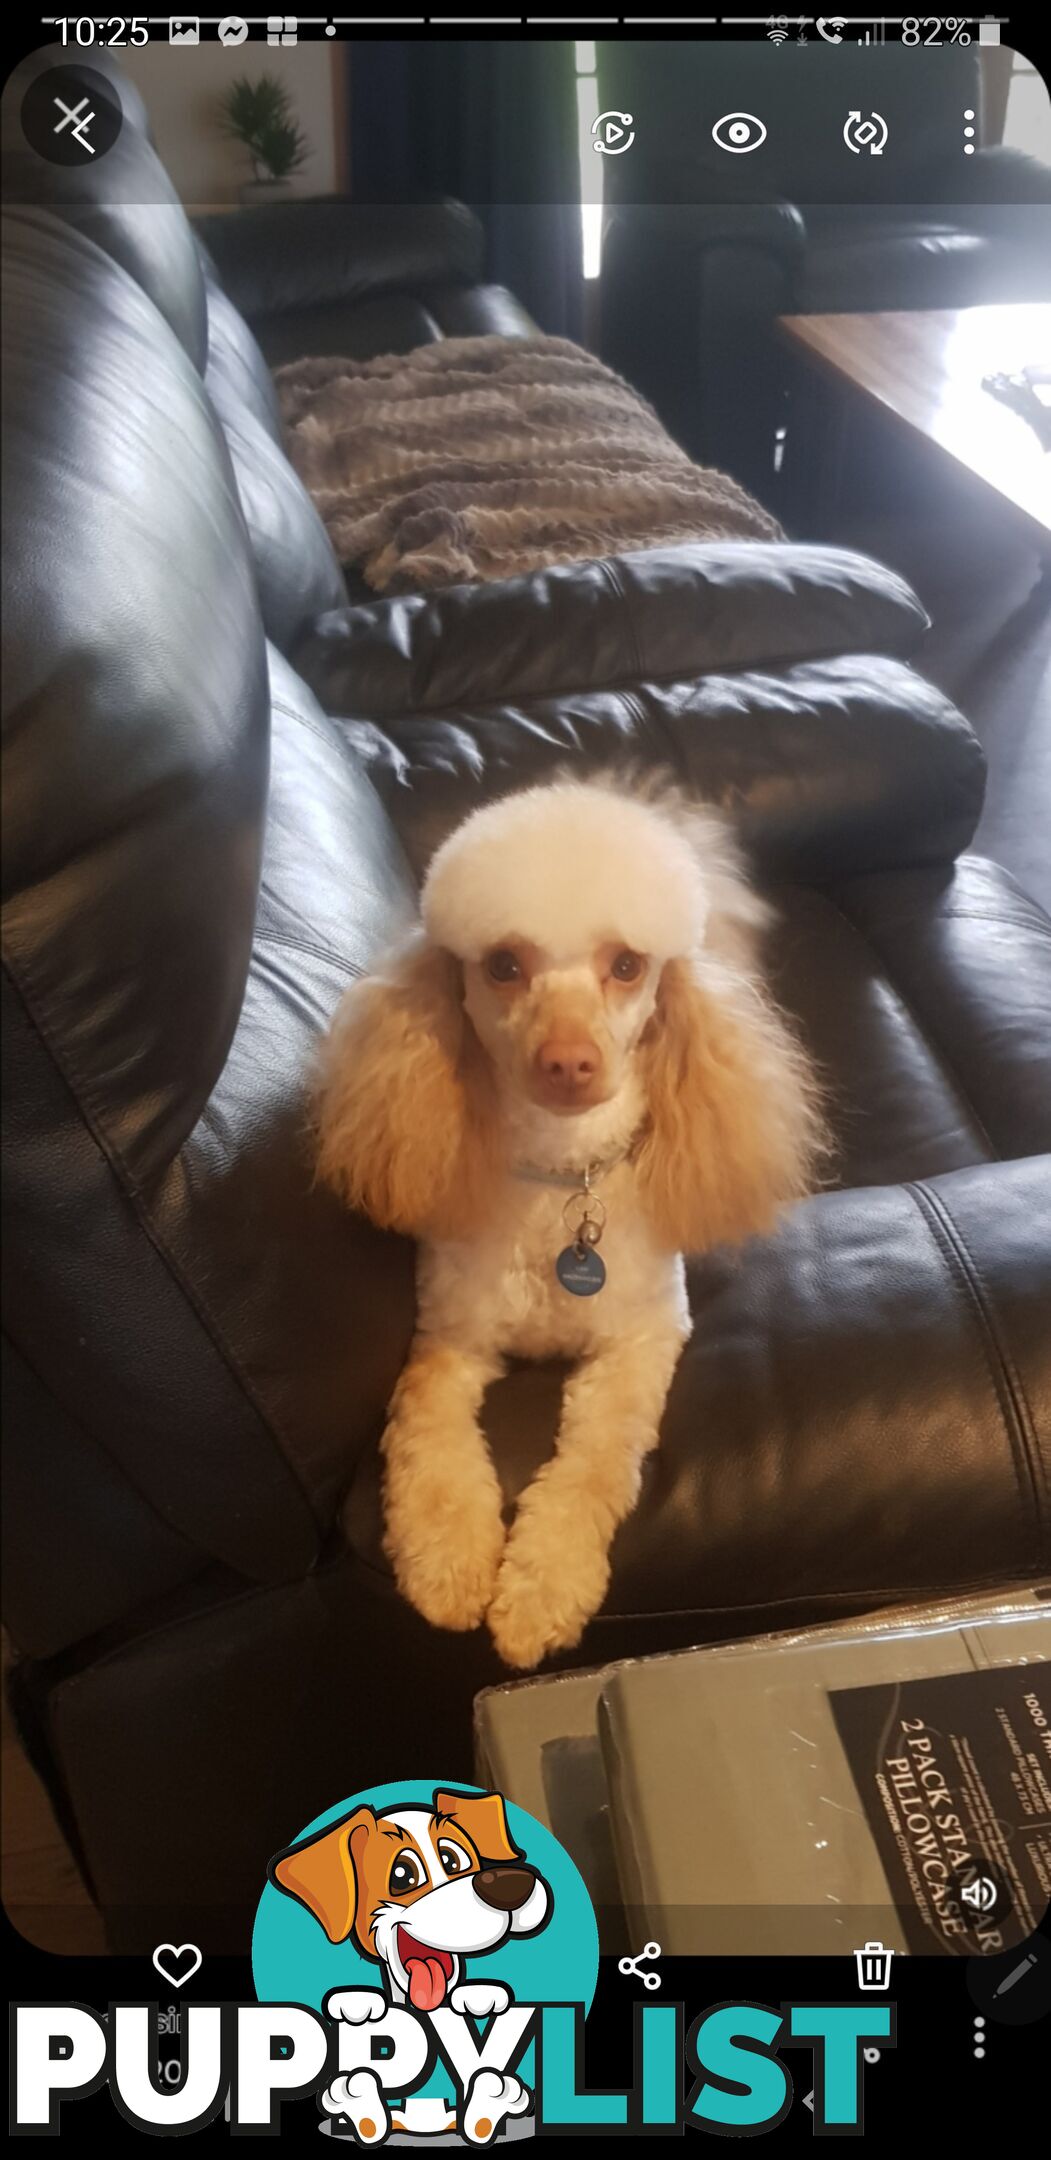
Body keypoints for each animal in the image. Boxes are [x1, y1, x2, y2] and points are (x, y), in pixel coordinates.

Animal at [317, 777, 828, 1667]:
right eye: (502, 965)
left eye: (626, 965)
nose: (567, 1063)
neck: (559, 1175)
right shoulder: (448, 1338)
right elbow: (428, 1441)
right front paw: (448, 1562)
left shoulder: (641, 1340)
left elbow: (594, 1460)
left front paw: (540, 1587)